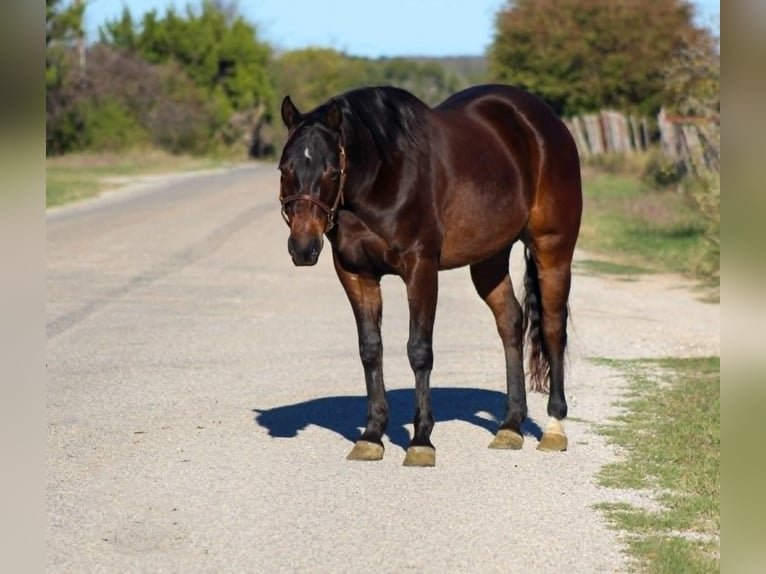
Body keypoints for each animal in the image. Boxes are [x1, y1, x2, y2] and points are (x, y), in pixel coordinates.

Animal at [280, 84, 584, 468]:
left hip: (553, 248)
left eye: (332, 172)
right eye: (284, 169)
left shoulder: (420, 268)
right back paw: (510, 427)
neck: (384, 175)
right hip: (489, 258)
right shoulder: (355, 273)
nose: (303, 248)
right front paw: (371, 436)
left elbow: (419, 350)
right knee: (511, 322)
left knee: (553, 328)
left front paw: (421, 441)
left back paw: (555, 427)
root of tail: (546, 123)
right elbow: (370, 349)